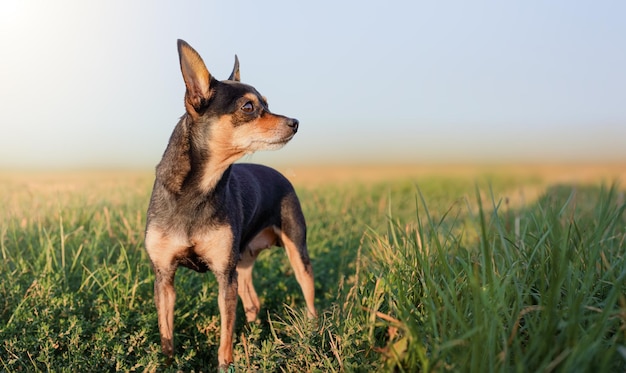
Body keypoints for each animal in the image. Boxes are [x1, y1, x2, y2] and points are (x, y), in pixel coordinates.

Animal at [144, 40, 314, 370]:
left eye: (267, 104)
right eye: (248, 107)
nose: (295, 123)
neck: (197, 191)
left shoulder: (225, 275)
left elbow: (225, 335)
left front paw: (225, 364)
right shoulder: (164, 276)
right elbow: (166, 333)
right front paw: (168, 363)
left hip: (296, 251)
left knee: (308, 295)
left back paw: (313, 335)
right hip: (243, 262)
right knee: (252, 301)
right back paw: (254, 332)